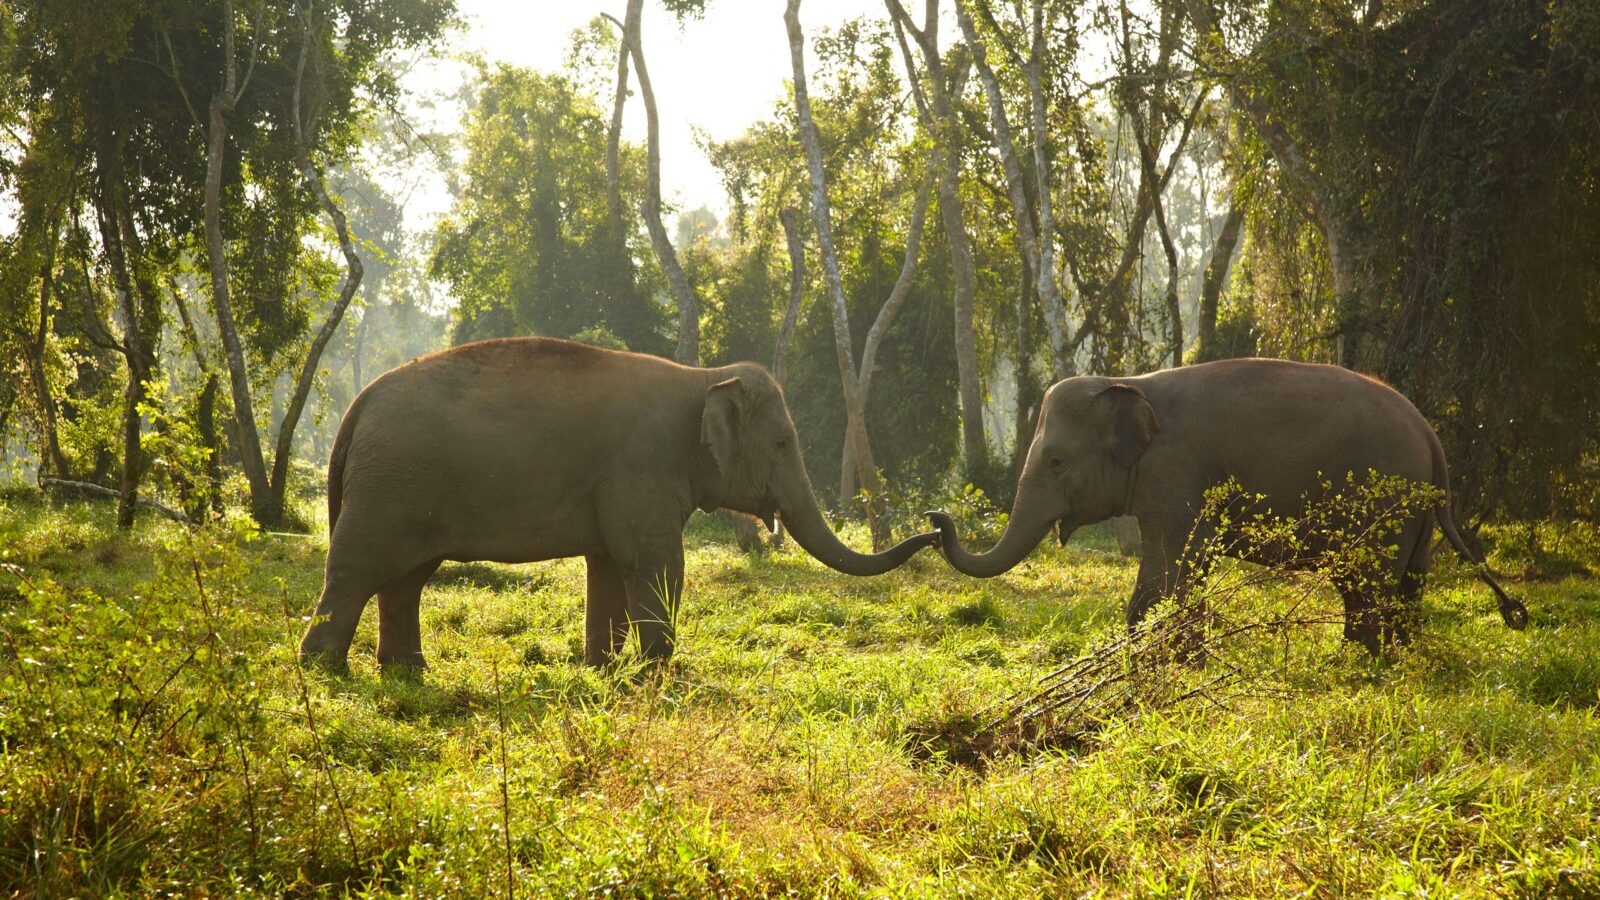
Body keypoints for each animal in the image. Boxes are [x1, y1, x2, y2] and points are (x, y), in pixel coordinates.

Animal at [298, 337, 939, 672]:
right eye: (782, 443)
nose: (938, 525)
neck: (702, 378)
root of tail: (356, 407)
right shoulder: (641, 468)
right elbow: (655, 564)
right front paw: (657, 672)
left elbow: (607, 567)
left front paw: (601, 670)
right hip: (390, 486)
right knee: (357, 570)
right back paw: (324, 670)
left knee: (405, 578)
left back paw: (407, 672)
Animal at [928, 358, 1529, 652]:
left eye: (1055, 462)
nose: (936, 520)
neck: (1129, 382)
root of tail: (1430, 436)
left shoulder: (1176, 472)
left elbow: (1170, 563)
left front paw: (1155, 657)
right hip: (1414, 513)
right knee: (1406, 584)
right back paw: (1392, 659)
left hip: (1384, 504)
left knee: (1366, 583)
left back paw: (1359, 663)